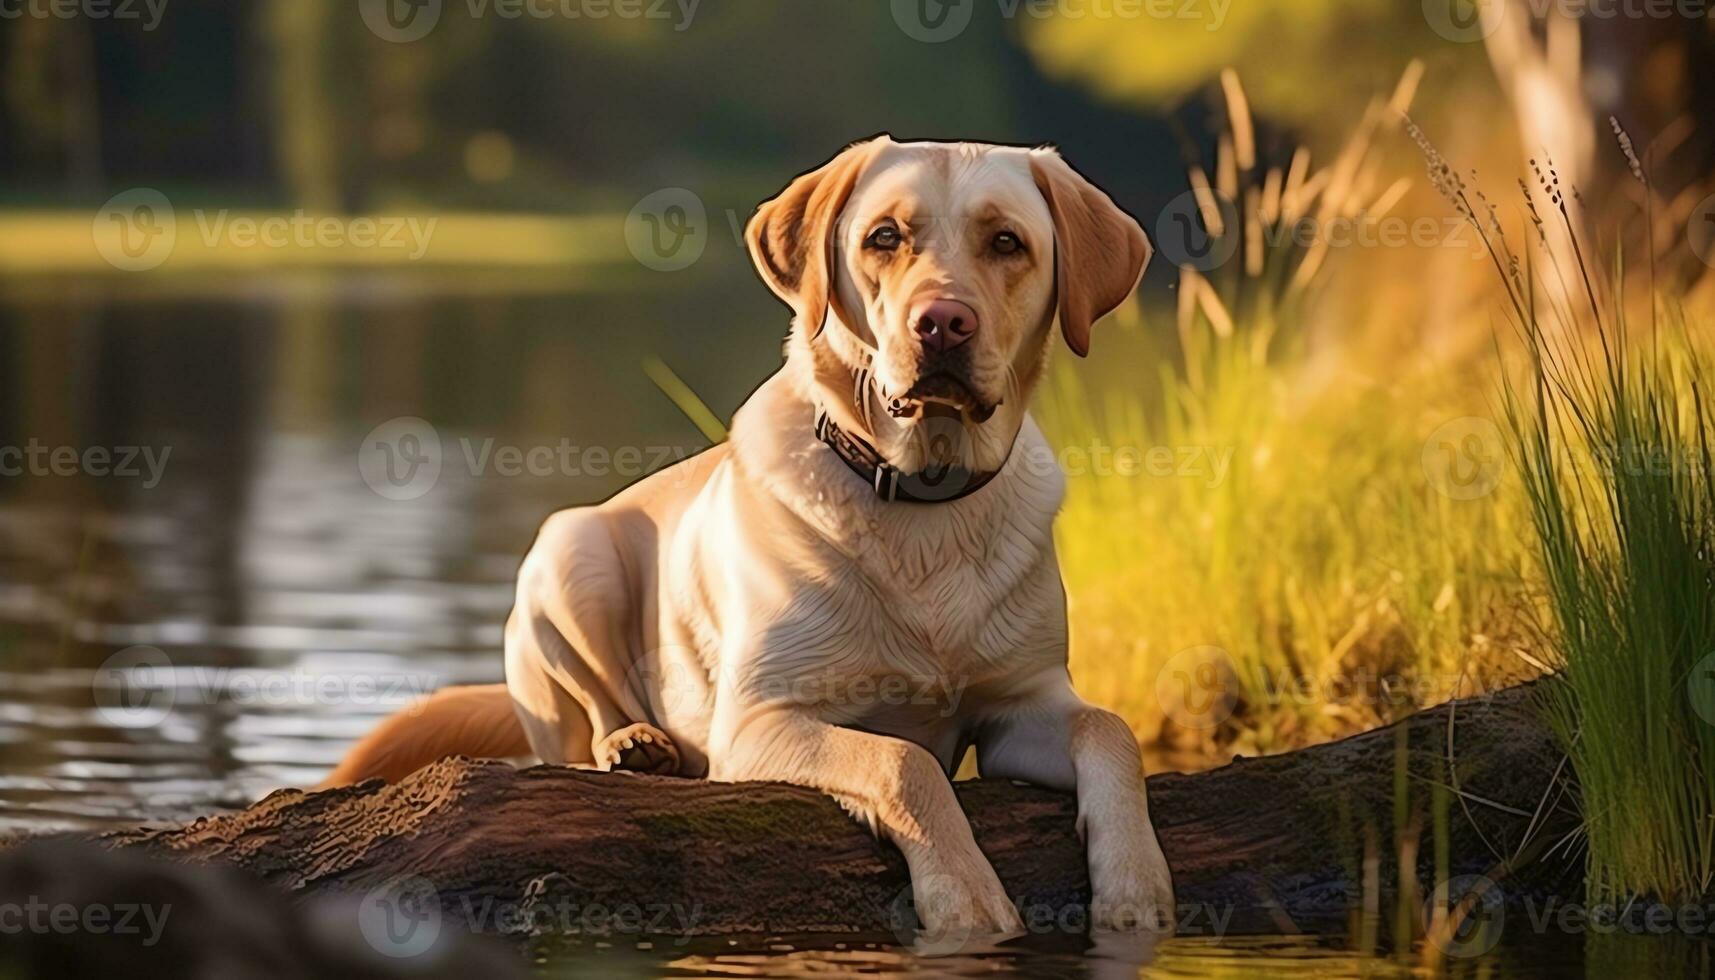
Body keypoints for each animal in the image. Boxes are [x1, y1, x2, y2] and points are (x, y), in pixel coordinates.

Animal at [322, 138, 1179, 940]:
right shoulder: (760, 719)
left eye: (1006, 242)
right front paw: (964, 899)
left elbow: (1112, 730)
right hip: (569, 552)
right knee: (578, 728)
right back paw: (635, 744)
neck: (921, 496)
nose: (941, 322)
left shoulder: (1019, 702)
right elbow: (901, 761)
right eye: (883, 237)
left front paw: (1137, 888)